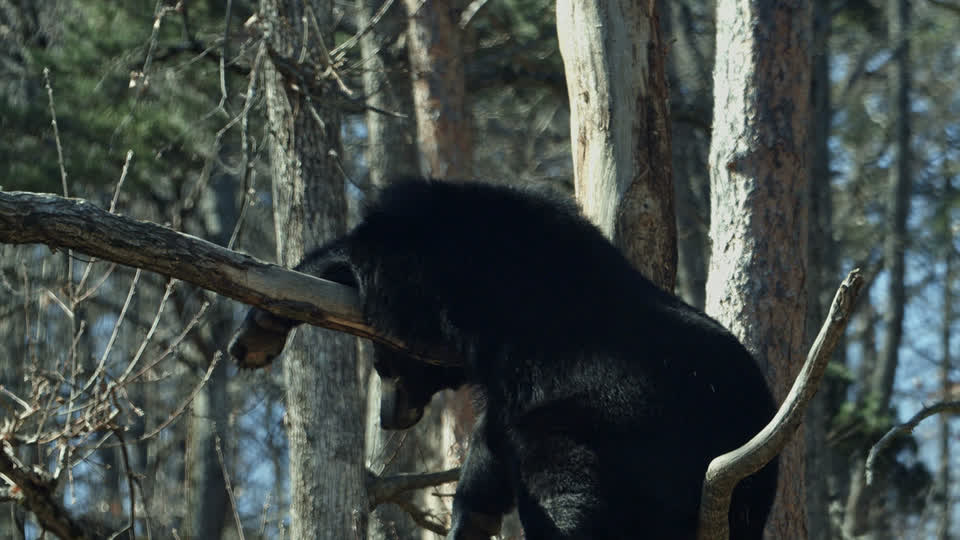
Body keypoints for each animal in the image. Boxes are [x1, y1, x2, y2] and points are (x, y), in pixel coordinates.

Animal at [229, 178, 778, 540]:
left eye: (386, 370)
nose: (390, 417)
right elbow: (489, 445)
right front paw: (472, 519)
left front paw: (259, 331)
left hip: (609, 438)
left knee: (562, 480)